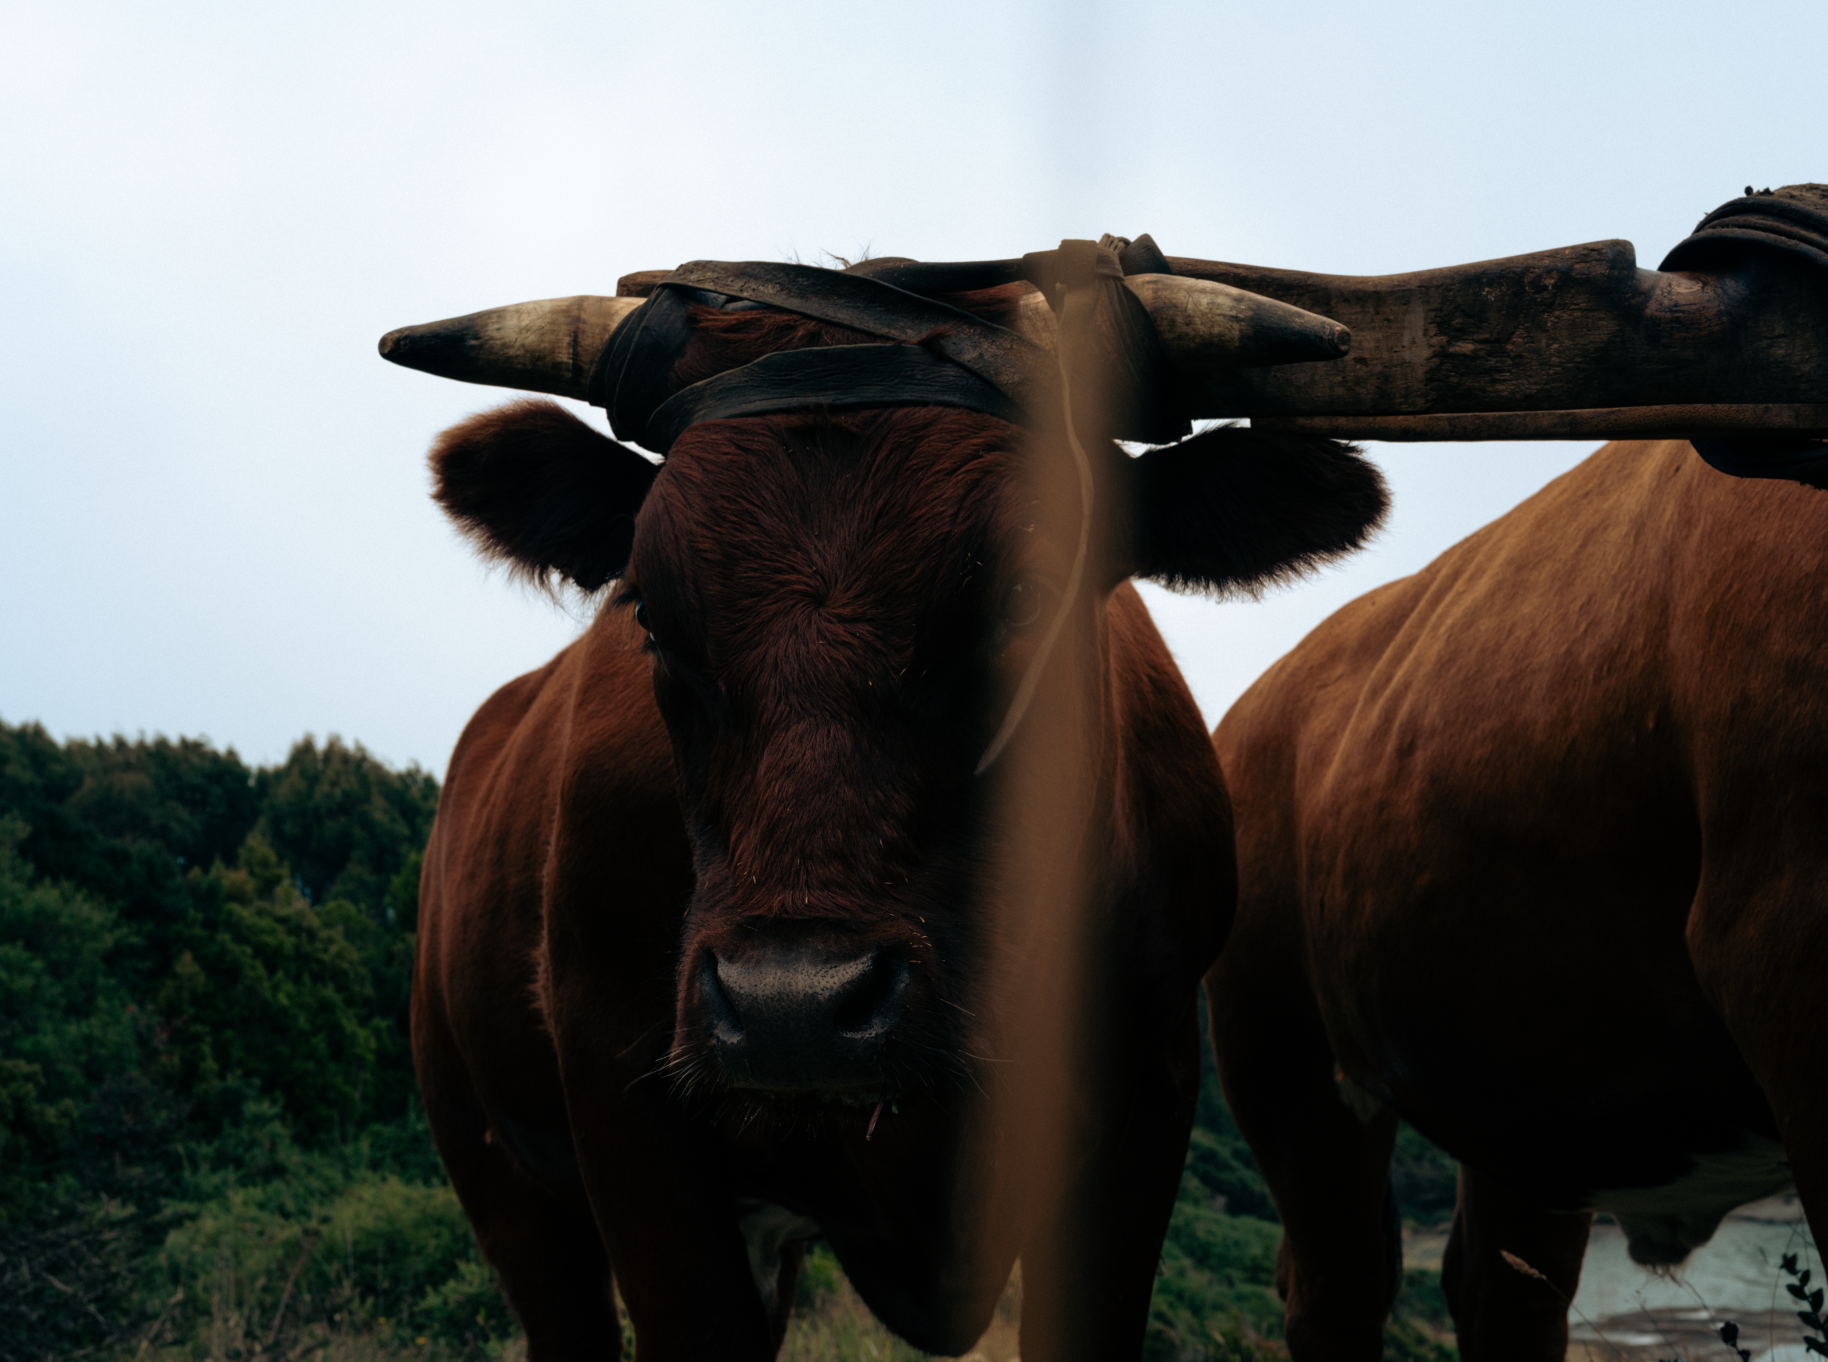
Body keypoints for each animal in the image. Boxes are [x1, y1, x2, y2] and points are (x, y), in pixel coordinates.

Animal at [390, 246, 1390, 1360]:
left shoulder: (1146, 1098)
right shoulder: (623, 1105)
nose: (791, 1008)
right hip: (493, 1161)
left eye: (1028, 593)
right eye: (645, 608)